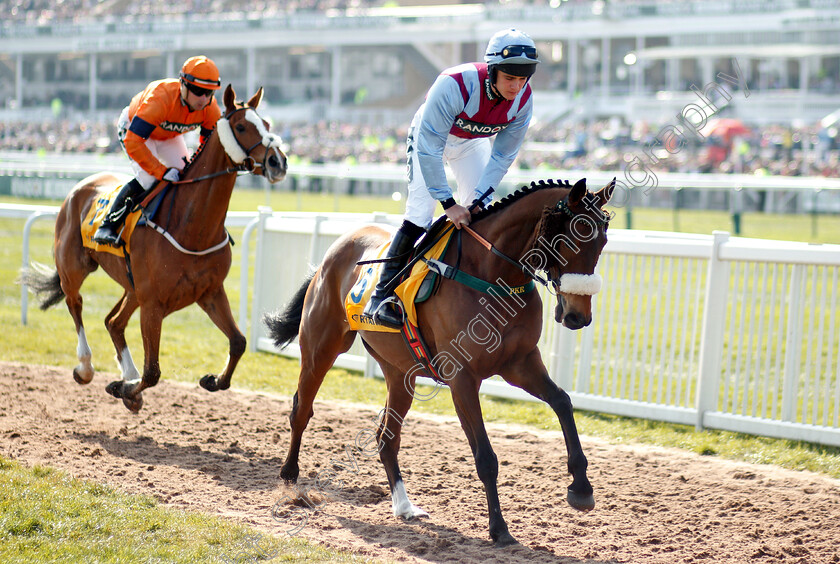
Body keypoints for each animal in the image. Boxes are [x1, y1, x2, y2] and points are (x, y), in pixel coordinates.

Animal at [19, 86, 288, 414]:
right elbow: (153, 372)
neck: (193, 225)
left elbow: (238, 342)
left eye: (267, 124)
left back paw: (128, 373)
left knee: (113, 322)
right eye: (240, 127)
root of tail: (81, 186)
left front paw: (211, 379)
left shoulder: (210, 292)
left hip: (132, 286)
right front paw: (126, 388)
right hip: (74, 268)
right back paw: (87, 367)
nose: (278, 162)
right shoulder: (153, 304)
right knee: (76, 304)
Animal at [266, 177, 612, 548]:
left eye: (602, 241)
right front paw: (499, 528)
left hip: (399, 372)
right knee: (301, 409)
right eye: (573, 237)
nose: (578, 316)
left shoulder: (521, 363)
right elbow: (485, 456)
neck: (491, 275)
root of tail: (333, 252)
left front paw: (581, 487)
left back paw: (404, 506)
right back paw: (289, 478)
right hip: (321, 348)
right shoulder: (462, 378)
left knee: (386, 437)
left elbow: (562, 402)